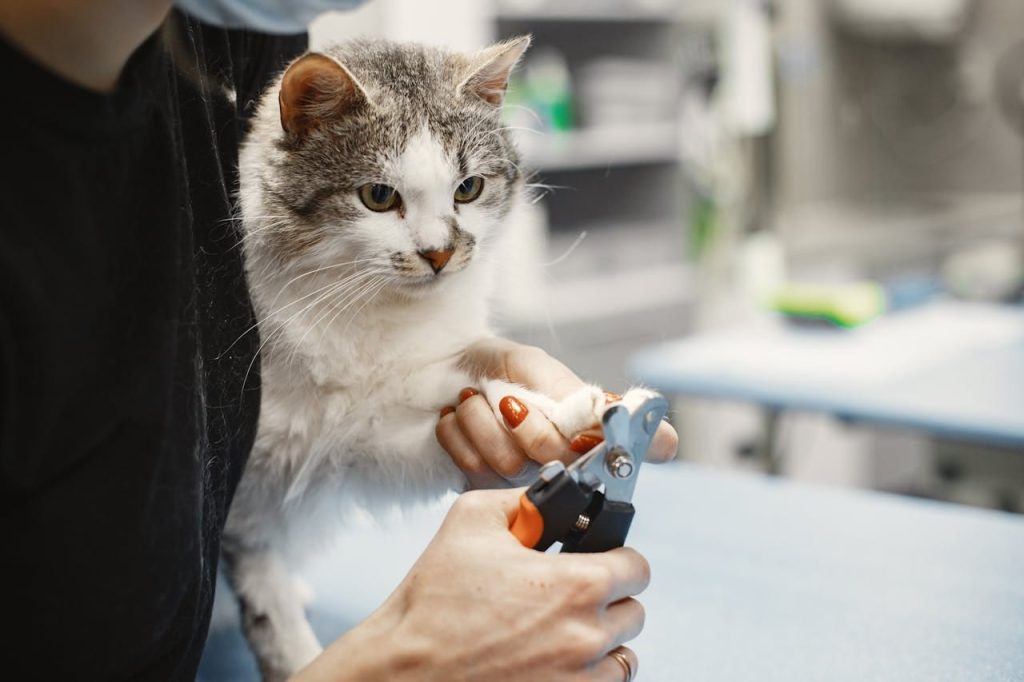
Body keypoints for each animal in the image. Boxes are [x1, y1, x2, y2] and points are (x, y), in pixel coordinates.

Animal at [227, 38, 638, 679]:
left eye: (468, 188)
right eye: (378, 197)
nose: (440, 252)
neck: (368, 315)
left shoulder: (371, 439)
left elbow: (479, 402)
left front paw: (568, 414)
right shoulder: (249, 503)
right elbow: (271, 609)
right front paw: (294, 650)